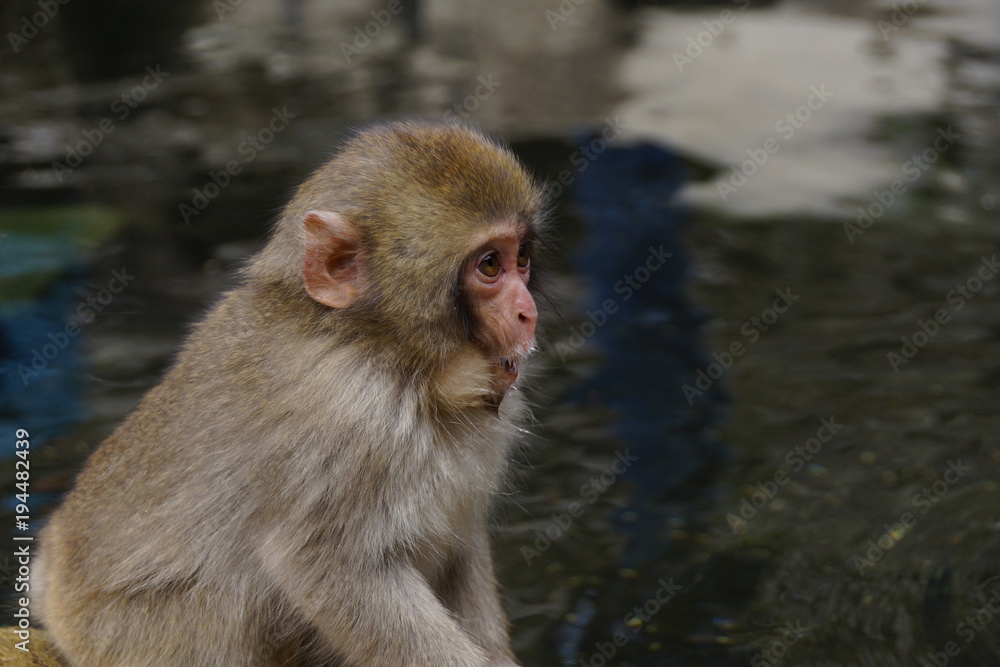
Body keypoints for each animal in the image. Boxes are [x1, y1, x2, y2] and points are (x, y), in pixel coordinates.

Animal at [36, 121, 548, 667]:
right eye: (489, 265)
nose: (528, 312)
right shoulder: (349, 422)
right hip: (127, 635)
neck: (388, 354)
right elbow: (331, 569)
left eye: (521, 258)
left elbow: (461, 549)